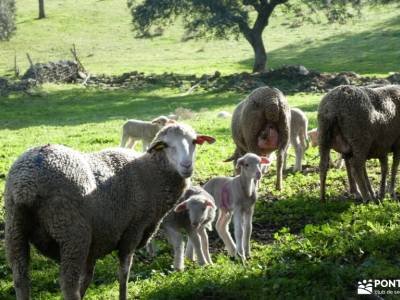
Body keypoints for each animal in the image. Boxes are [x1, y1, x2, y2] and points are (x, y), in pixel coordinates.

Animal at [3, 122, 216, 300]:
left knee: (21, 279)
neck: (151, 174)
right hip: (73, 234)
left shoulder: (96, 240)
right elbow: (124, 273)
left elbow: (88, 277)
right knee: (68, 284)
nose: (187, 166)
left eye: (194, 142)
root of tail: (27, 184)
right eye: (165, 145)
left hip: (15, 228)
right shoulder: (132, 230)